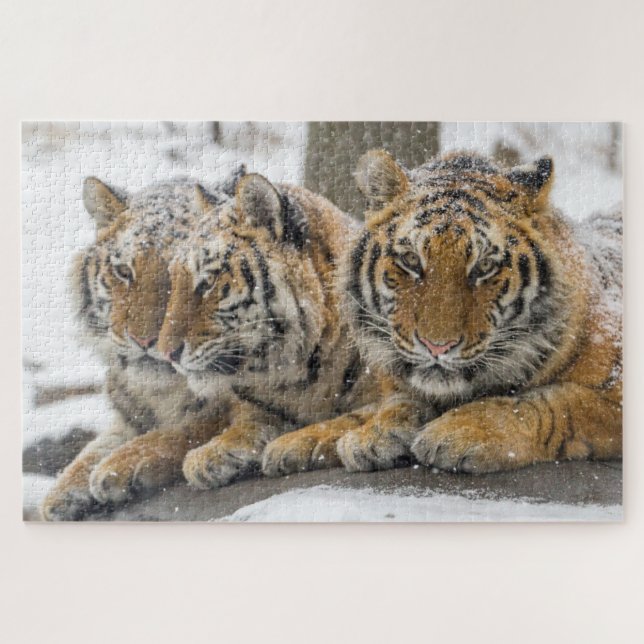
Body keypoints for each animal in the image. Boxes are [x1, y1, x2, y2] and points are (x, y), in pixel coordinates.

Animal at [41, 171, 244, 520]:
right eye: (124, 272)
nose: (144, 340)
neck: (162, 392)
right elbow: (97, 444)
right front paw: (61, 492)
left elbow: (193, 426)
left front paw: (119, 466)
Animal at [157, 173, 380, 488]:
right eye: (175, 280)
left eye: (208, 283)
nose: (167, 354)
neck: (301, 375)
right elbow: (249, 422)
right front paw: (210, 453)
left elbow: (359, 415)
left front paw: (294, 443)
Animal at [262, 149, 622, 476]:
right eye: (410, 260)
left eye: (484, 267)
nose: (437, 346)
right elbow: (377, 407)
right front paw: (366, 433)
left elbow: (552, 403)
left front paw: (458, 432)